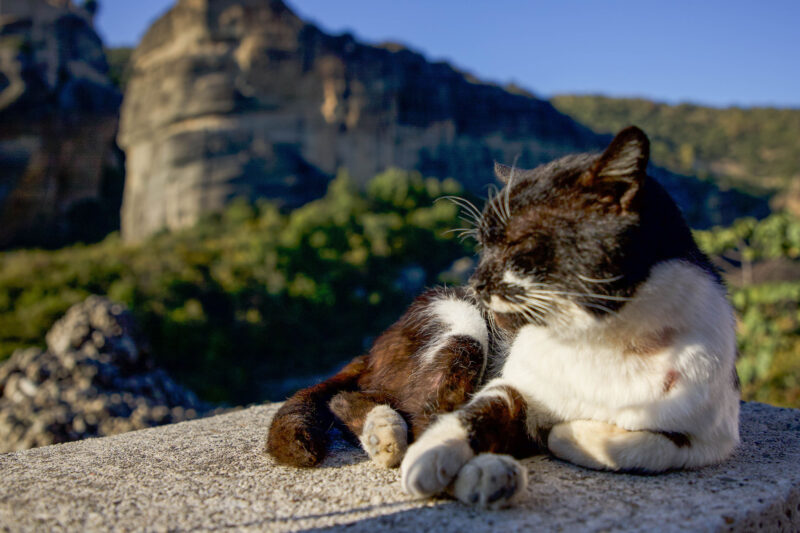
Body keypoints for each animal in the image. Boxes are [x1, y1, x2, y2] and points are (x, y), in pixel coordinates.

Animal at [266, 124, 740, 508]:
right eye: (482, 244)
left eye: (519, 245)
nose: (476, 280)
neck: (599, 343)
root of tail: (377, 343)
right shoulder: (514, 382)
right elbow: (473, 414)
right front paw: (437, 460)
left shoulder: (715, 434)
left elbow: (654, 449)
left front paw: (566, 436)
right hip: (462, 328)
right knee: (392, 404)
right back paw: (405, 442)